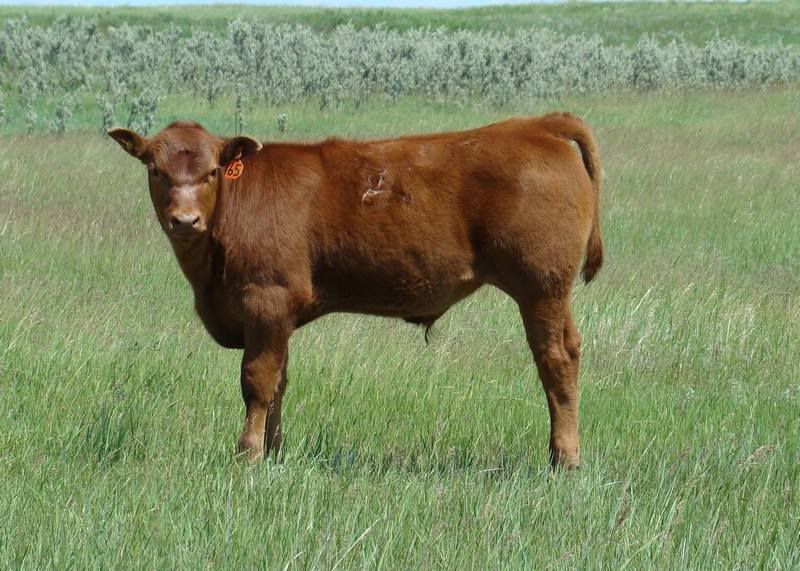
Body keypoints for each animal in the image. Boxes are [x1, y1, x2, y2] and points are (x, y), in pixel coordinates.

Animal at [108, 112, 603, 470]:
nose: (184, 220)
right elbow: (280, 382)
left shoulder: (266, 302)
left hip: (540, 288)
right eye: (154, 169)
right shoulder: (279, 318)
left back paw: (565, 458)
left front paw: (247, 453)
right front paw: (274, 453)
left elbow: (257, 382)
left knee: (554, 361)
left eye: (212, 171)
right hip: (552, 294)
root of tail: (537, 124)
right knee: (570, 350)